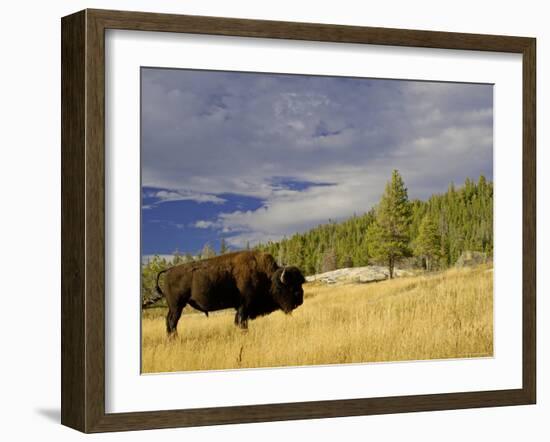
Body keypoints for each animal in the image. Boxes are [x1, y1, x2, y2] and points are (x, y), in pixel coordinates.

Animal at [144, 250, 308, 336]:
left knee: (169, 322)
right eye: (289, 286)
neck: (267, 277)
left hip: (174, 307)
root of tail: (169, 270)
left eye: (300, 284)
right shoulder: (244, 306)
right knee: (172, 322)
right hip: (177, 306)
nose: (300, 301)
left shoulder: (241, 308)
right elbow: (242, 323)